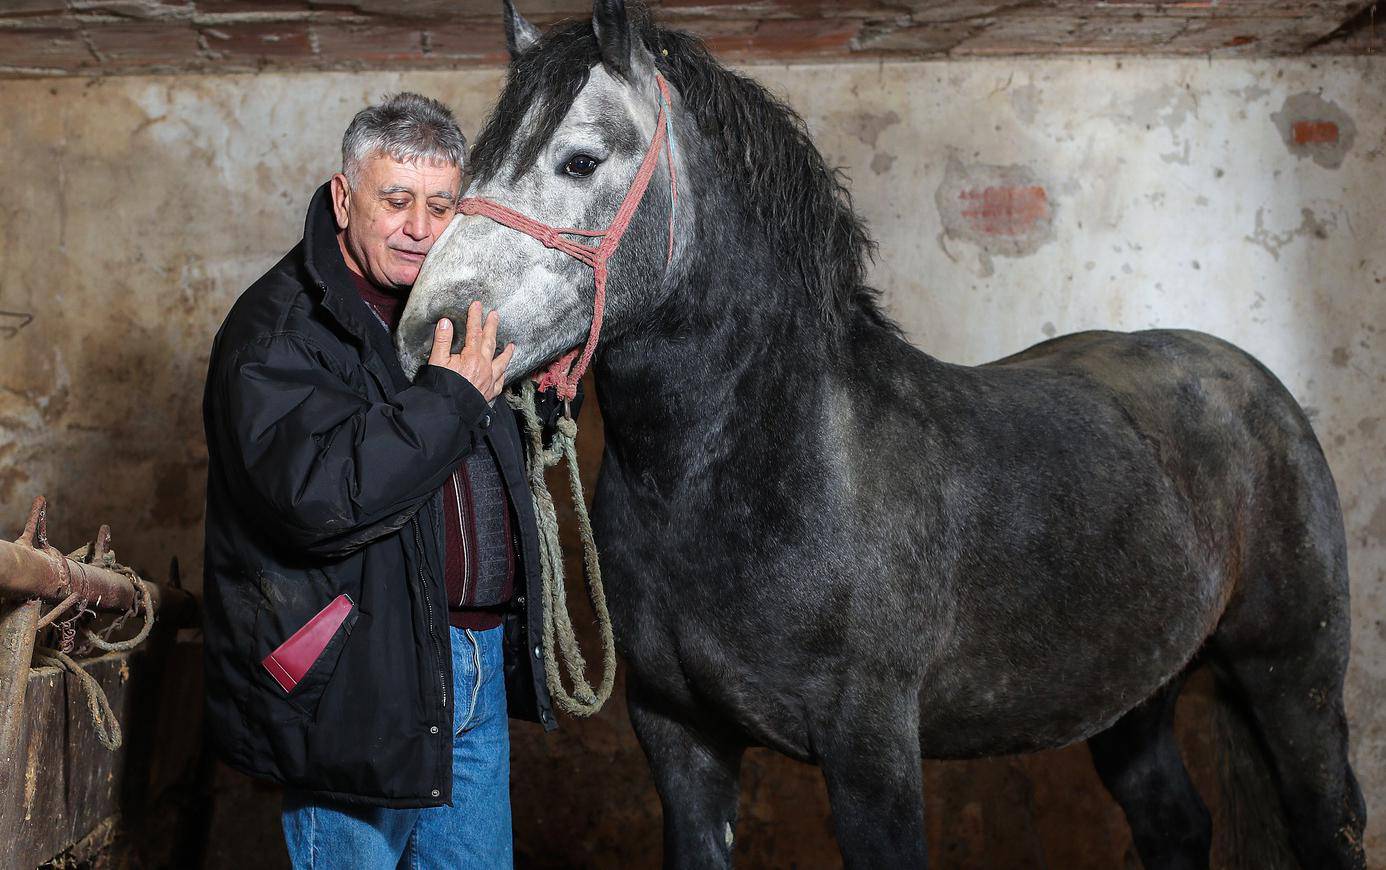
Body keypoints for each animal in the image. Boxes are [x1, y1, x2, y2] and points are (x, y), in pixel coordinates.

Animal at [390, 3, 1363, 864]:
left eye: (580, 161)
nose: (427, 333)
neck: (774, 465)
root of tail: (1254, 385)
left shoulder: (872, 755)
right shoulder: (681, 741)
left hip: (1294, 681)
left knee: (1328, 823)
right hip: (1133, 695)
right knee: (1174, 825)